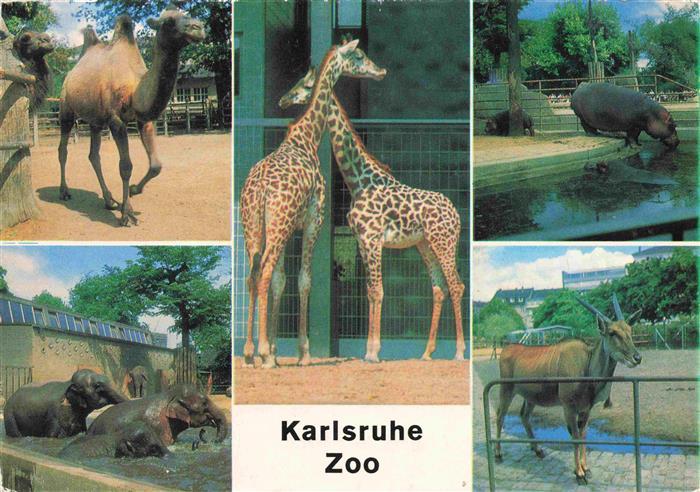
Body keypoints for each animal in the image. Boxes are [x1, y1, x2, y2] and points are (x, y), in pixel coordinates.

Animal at [58, 5, 204, 226]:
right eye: (168, 22)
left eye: (185, 12)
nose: (198, 27)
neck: (135, 90)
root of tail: (71, 72)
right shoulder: (116, 121)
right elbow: (125, 166)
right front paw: (127, 213)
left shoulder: (145, 120)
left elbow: (156, 165)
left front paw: (135, 190)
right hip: (66, 107)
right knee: (63, 149)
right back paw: (64, 192)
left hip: (95, 121)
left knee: (94, 155)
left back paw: (109, 200)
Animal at [240, 39, 386, 369]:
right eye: (359, 55)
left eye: (303, 82)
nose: (380, 70)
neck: (307, 138)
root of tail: (260, 189)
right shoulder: (313, 220)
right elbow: (304, 280)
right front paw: (302, 353)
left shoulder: (289, 228)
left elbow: (281, 280)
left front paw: (276, 353)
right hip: (276, 226)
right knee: (262, 273)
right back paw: (261, 350)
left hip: (253, 228)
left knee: (253, 274)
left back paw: (250, 352)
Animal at [279, 66, 466, 362]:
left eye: (307, 85)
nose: (283, 100)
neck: (359, 180)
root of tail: (456, 215)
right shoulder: (362, 241)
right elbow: (369, 291)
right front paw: (370, 349)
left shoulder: (373, 239)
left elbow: (377, 290)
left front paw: (373, 352)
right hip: (424, 245)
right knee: (439, 288)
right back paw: (426, 353)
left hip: (444, 243)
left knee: (457, 285)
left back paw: (459, 352)